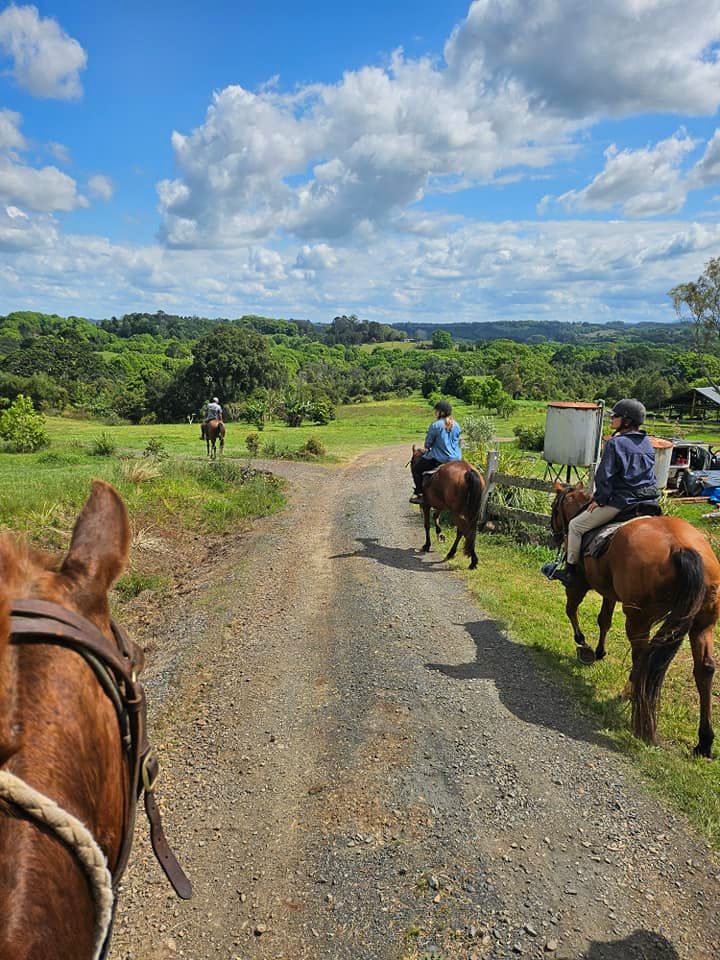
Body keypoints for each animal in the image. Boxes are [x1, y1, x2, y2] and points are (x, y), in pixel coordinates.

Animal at [548, 484, 716, 752]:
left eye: (554, 507)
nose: (553, 534)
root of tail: (684, 548)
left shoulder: (580, 583)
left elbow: (571, 610)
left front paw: (584, 646)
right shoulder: (610, 592)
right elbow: (604, 620)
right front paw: (599, 652)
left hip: (638, 618)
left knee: (642, 657)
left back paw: (628, 696)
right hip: (703, 623)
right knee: (705, 668)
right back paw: (704, 741)